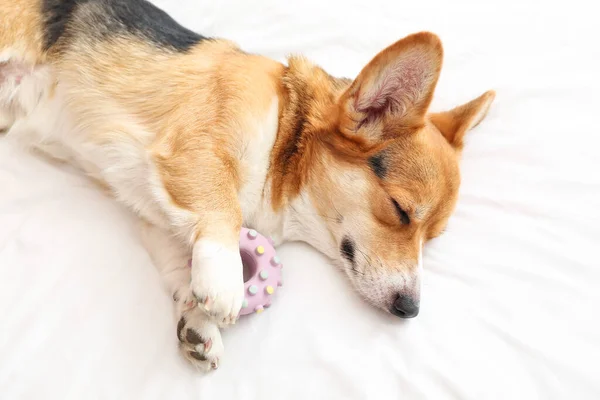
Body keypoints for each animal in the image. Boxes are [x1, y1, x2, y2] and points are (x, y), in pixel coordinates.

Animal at [0, 0, 494, 372]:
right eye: (399, 210)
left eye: (432, 238)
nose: (411, 310)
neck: (284, 145)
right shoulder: (193, 149)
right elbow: (223, 209)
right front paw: (224, 281)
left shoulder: (153, 206)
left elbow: (180, 262)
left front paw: (198, 320)